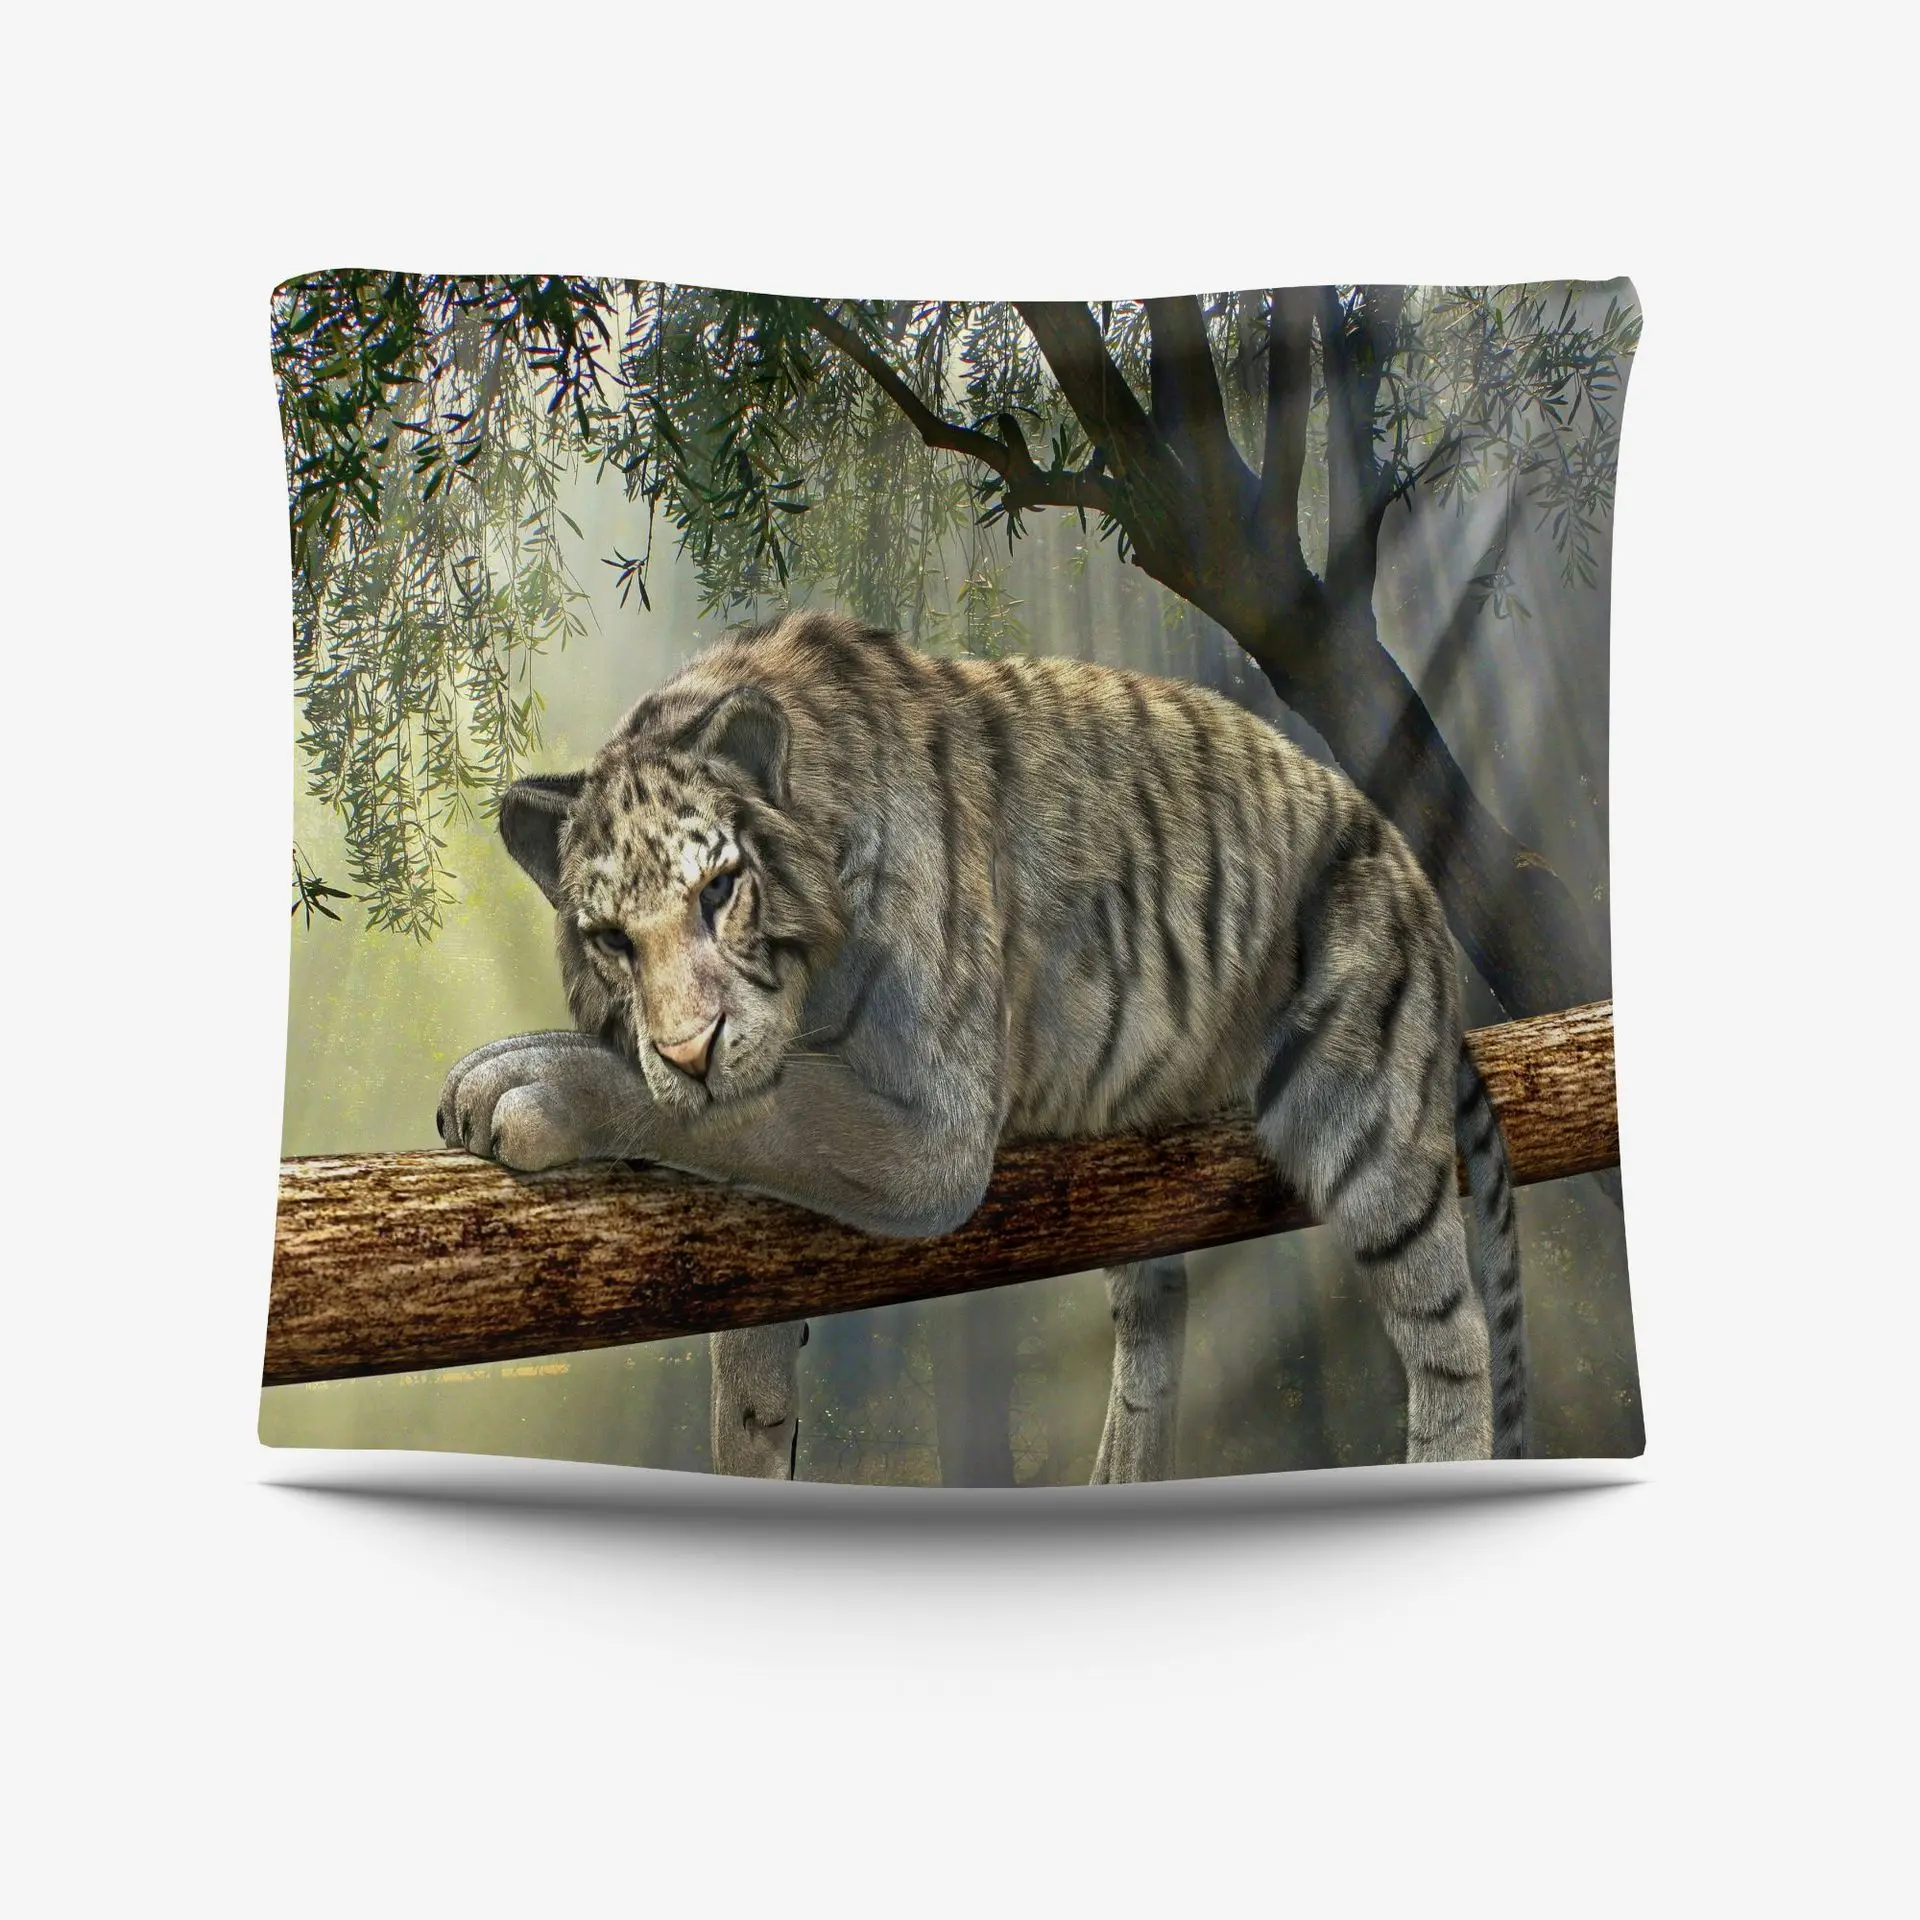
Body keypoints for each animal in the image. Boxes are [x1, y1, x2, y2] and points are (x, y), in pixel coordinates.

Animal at [436, 610, 1528, 1479]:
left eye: (719, 890)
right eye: (611, 940)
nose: (690, 1050)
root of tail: (1410, 866)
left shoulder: (932, 1138)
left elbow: (758, 1112)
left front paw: (521, 1084)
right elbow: (745, 1363)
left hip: (1367, 1123)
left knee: (1453, 1333)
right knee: (1159, 1307)